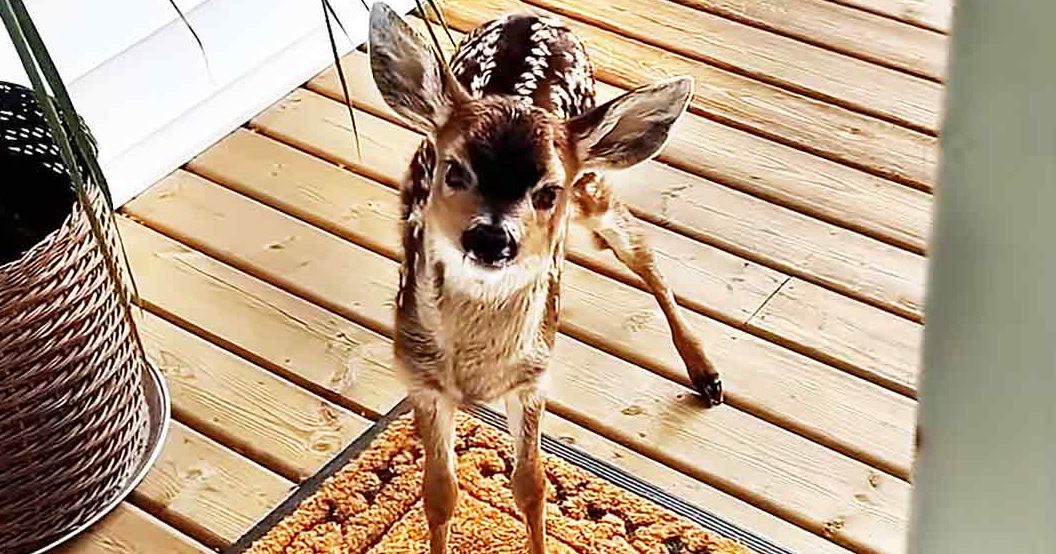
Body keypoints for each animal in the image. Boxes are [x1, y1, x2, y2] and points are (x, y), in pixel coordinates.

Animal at [367, 3, 723, 553]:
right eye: (454, 171)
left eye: (548, 191)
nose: (491, 238)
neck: (479, 372)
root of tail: (528, 15)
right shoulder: (419, 375)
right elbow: (439, 492)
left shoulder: (534, 377)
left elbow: (532, 486)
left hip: (594, 185)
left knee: (642, 253)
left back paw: (705, 372)